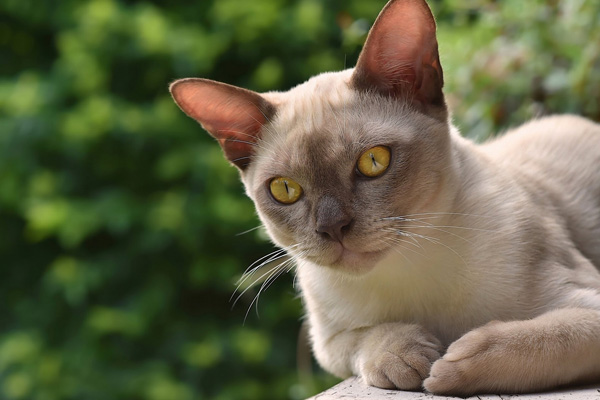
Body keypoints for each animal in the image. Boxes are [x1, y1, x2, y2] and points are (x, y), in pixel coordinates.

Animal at [168, 0, 600, 396]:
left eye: (374, 161)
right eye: (285, 190)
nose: (332, 228)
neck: (409, 270)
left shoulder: (586, 301)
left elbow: (534, 339)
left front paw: (449, 367)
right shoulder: (329, 342)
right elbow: (370, 337)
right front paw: (409, 359)